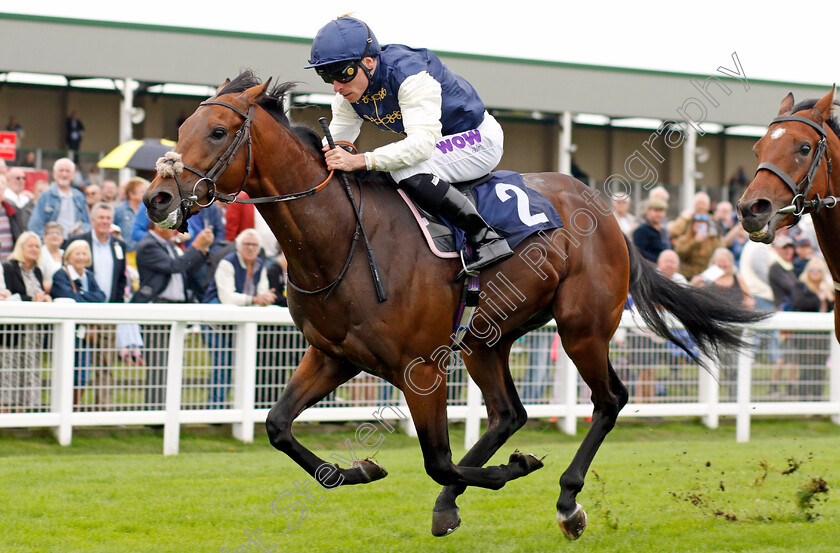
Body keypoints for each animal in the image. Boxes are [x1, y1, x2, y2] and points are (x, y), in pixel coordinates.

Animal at [146, 71, 768, 536]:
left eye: (218, 130)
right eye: (182, 126)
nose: (158, 197)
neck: (342, 239)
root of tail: (610, 214)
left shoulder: (420, 369)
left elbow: (435, 457)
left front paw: (514, 468)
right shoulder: (333, 356)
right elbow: (277, 425)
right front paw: (358, 470)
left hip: (581, 327)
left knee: (608, 399)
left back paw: (566, 501)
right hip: (484, 339)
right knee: (509, 413)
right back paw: (452, 501)